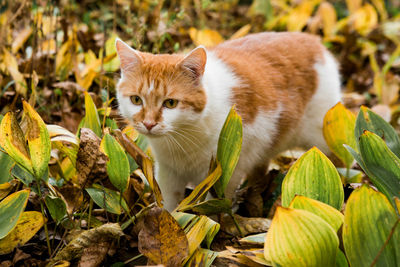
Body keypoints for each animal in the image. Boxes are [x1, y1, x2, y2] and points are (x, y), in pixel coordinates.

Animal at [115, 31, 340, 211]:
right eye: (136, 100)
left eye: (170, 103)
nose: (148, 123)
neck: (183, 139)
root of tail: (312, 40)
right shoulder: (168, 172)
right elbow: (170, 208)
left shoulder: (223, 175)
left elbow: (210, 212)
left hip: (323, 140)